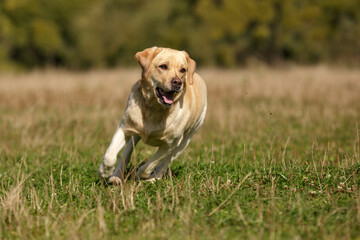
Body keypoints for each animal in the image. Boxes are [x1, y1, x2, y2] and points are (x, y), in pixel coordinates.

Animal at [97, 47, 208, 184]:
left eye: (183, 70)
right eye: (163, 66)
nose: (178, 82)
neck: (155, 108)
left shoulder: (170, 144)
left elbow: (151, 164)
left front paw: (141, 175)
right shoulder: (124, 127)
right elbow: (110, 155)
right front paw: (104, 172)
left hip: (185, 141)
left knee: (165, 162)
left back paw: (153, 179)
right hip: (134, 133)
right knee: (126, 153)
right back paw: (116, 176)